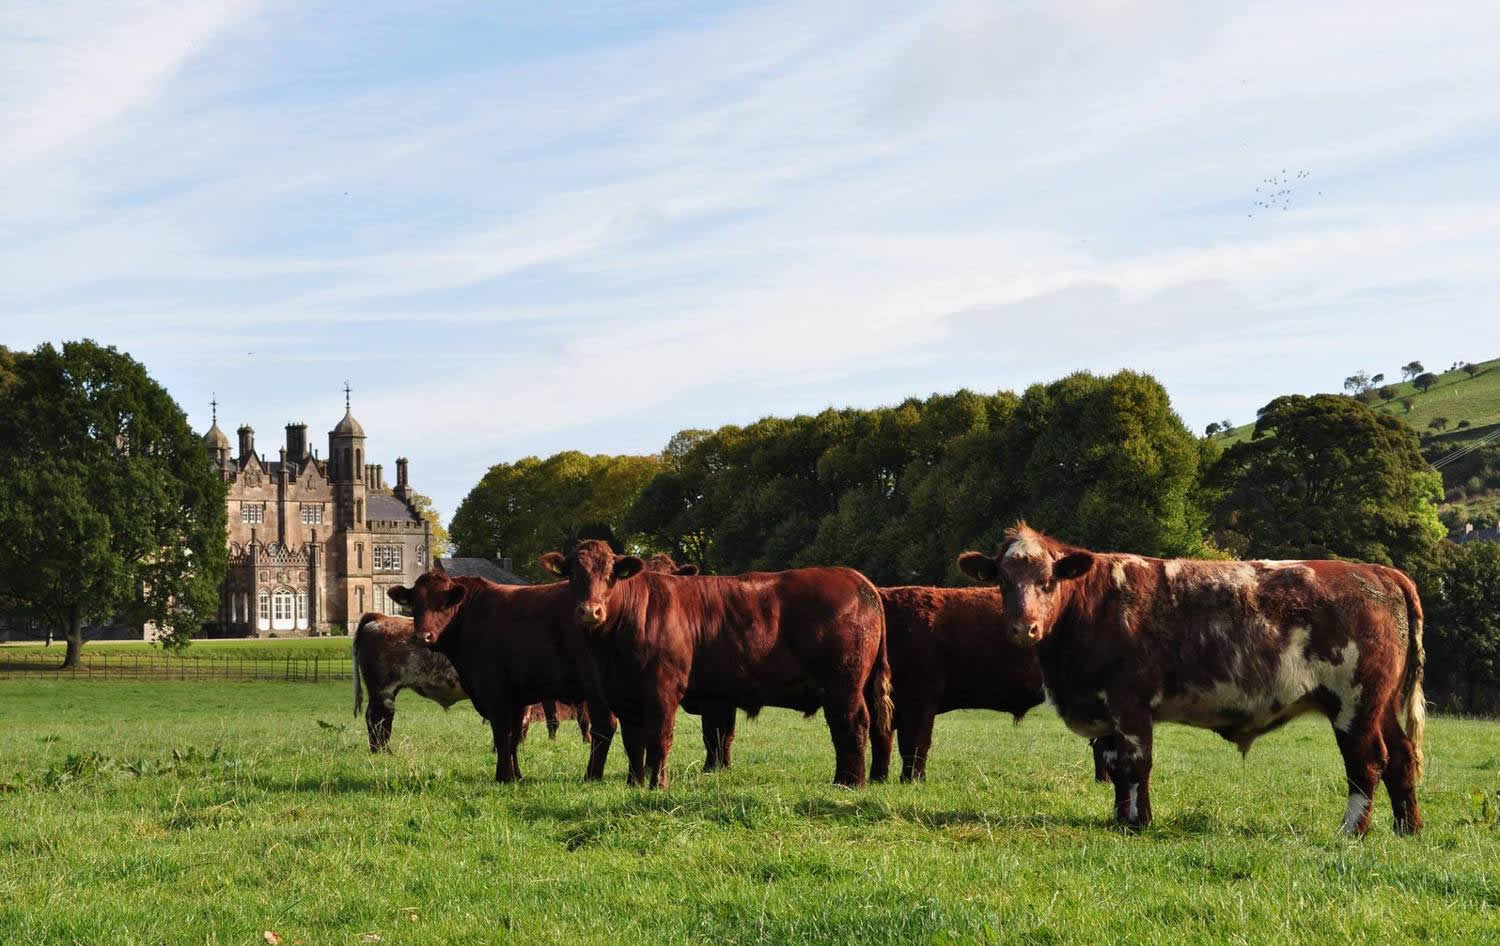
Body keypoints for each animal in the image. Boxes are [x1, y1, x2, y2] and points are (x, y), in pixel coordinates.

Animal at [393, 578, 621, 785]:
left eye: (443, 603)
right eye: (414, 604)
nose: (423, 636)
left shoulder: (495, 693)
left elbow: (502, 734)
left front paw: (503, 776)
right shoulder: (517, 699)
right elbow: (514, 737)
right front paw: (516, 776)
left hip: (597, 689)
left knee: (603, 727)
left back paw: (591, 775)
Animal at [540, 539, 888, 791]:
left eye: (610, 575)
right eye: (573, 574)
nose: (590, 611)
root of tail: (856, 579)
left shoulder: (663, 690)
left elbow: (660, 738)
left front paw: (657, 785)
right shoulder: (624, 694)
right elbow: (633, 742)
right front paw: (633, 783)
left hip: (843, 685)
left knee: (852, 724)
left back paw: (848, 783)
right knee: (876, 726)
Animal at [960, 524, 1428, 833]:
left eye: (1047, 580)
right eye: (1002, 581)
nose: (1024, 629)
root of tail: (1377, 571)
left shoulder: (1130, 705)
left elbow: (1135, 764)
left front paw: (1139, 822)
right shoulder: (1107, 712)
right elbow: (1114, 765)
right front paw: (1120, 818)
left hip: (1354, 703)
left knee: (1366, 762)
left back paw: (1351, 831)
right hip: (1380, 705)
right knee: (1401, 757)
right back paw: (1407, 828)